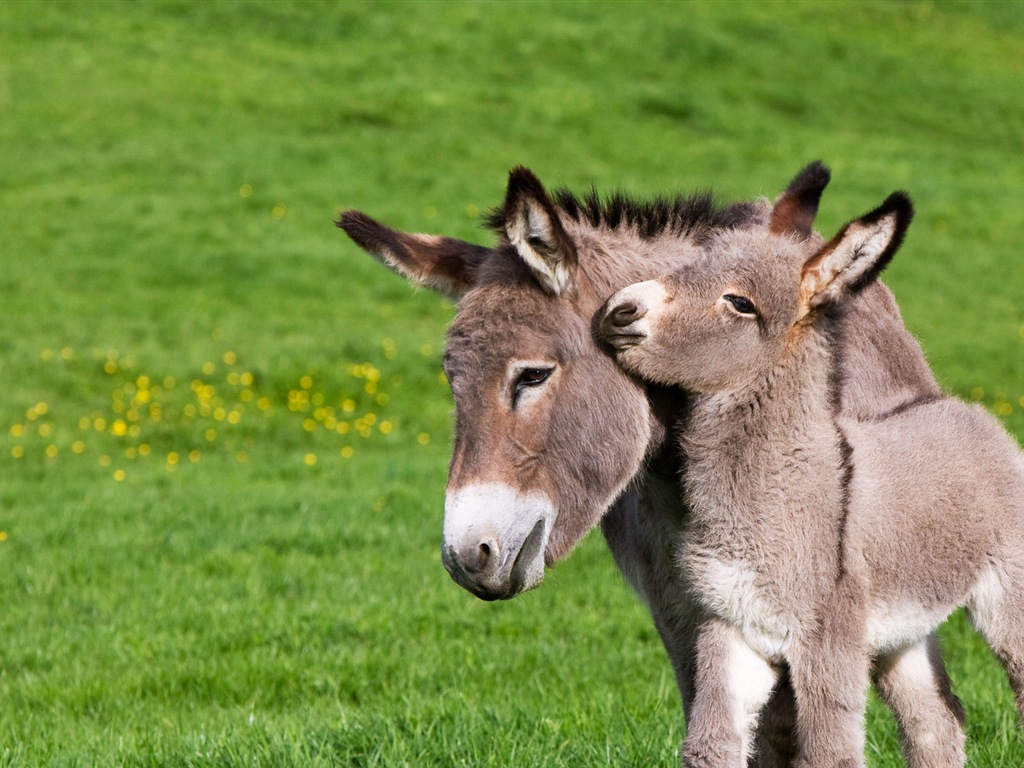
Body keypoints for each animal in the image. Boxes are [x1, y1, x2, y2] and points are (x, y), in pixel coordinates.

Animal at [598, 183, 1024, 765]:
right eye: (691, 264)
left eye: (740, 303)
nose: (619, 310)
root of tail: (967, 411)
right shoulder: (731, 630)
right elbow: (711, 745)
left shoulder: (826, 643)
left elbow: (830, 751)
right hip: (901, 634)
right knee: (936, 721)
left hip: (1008, 595)